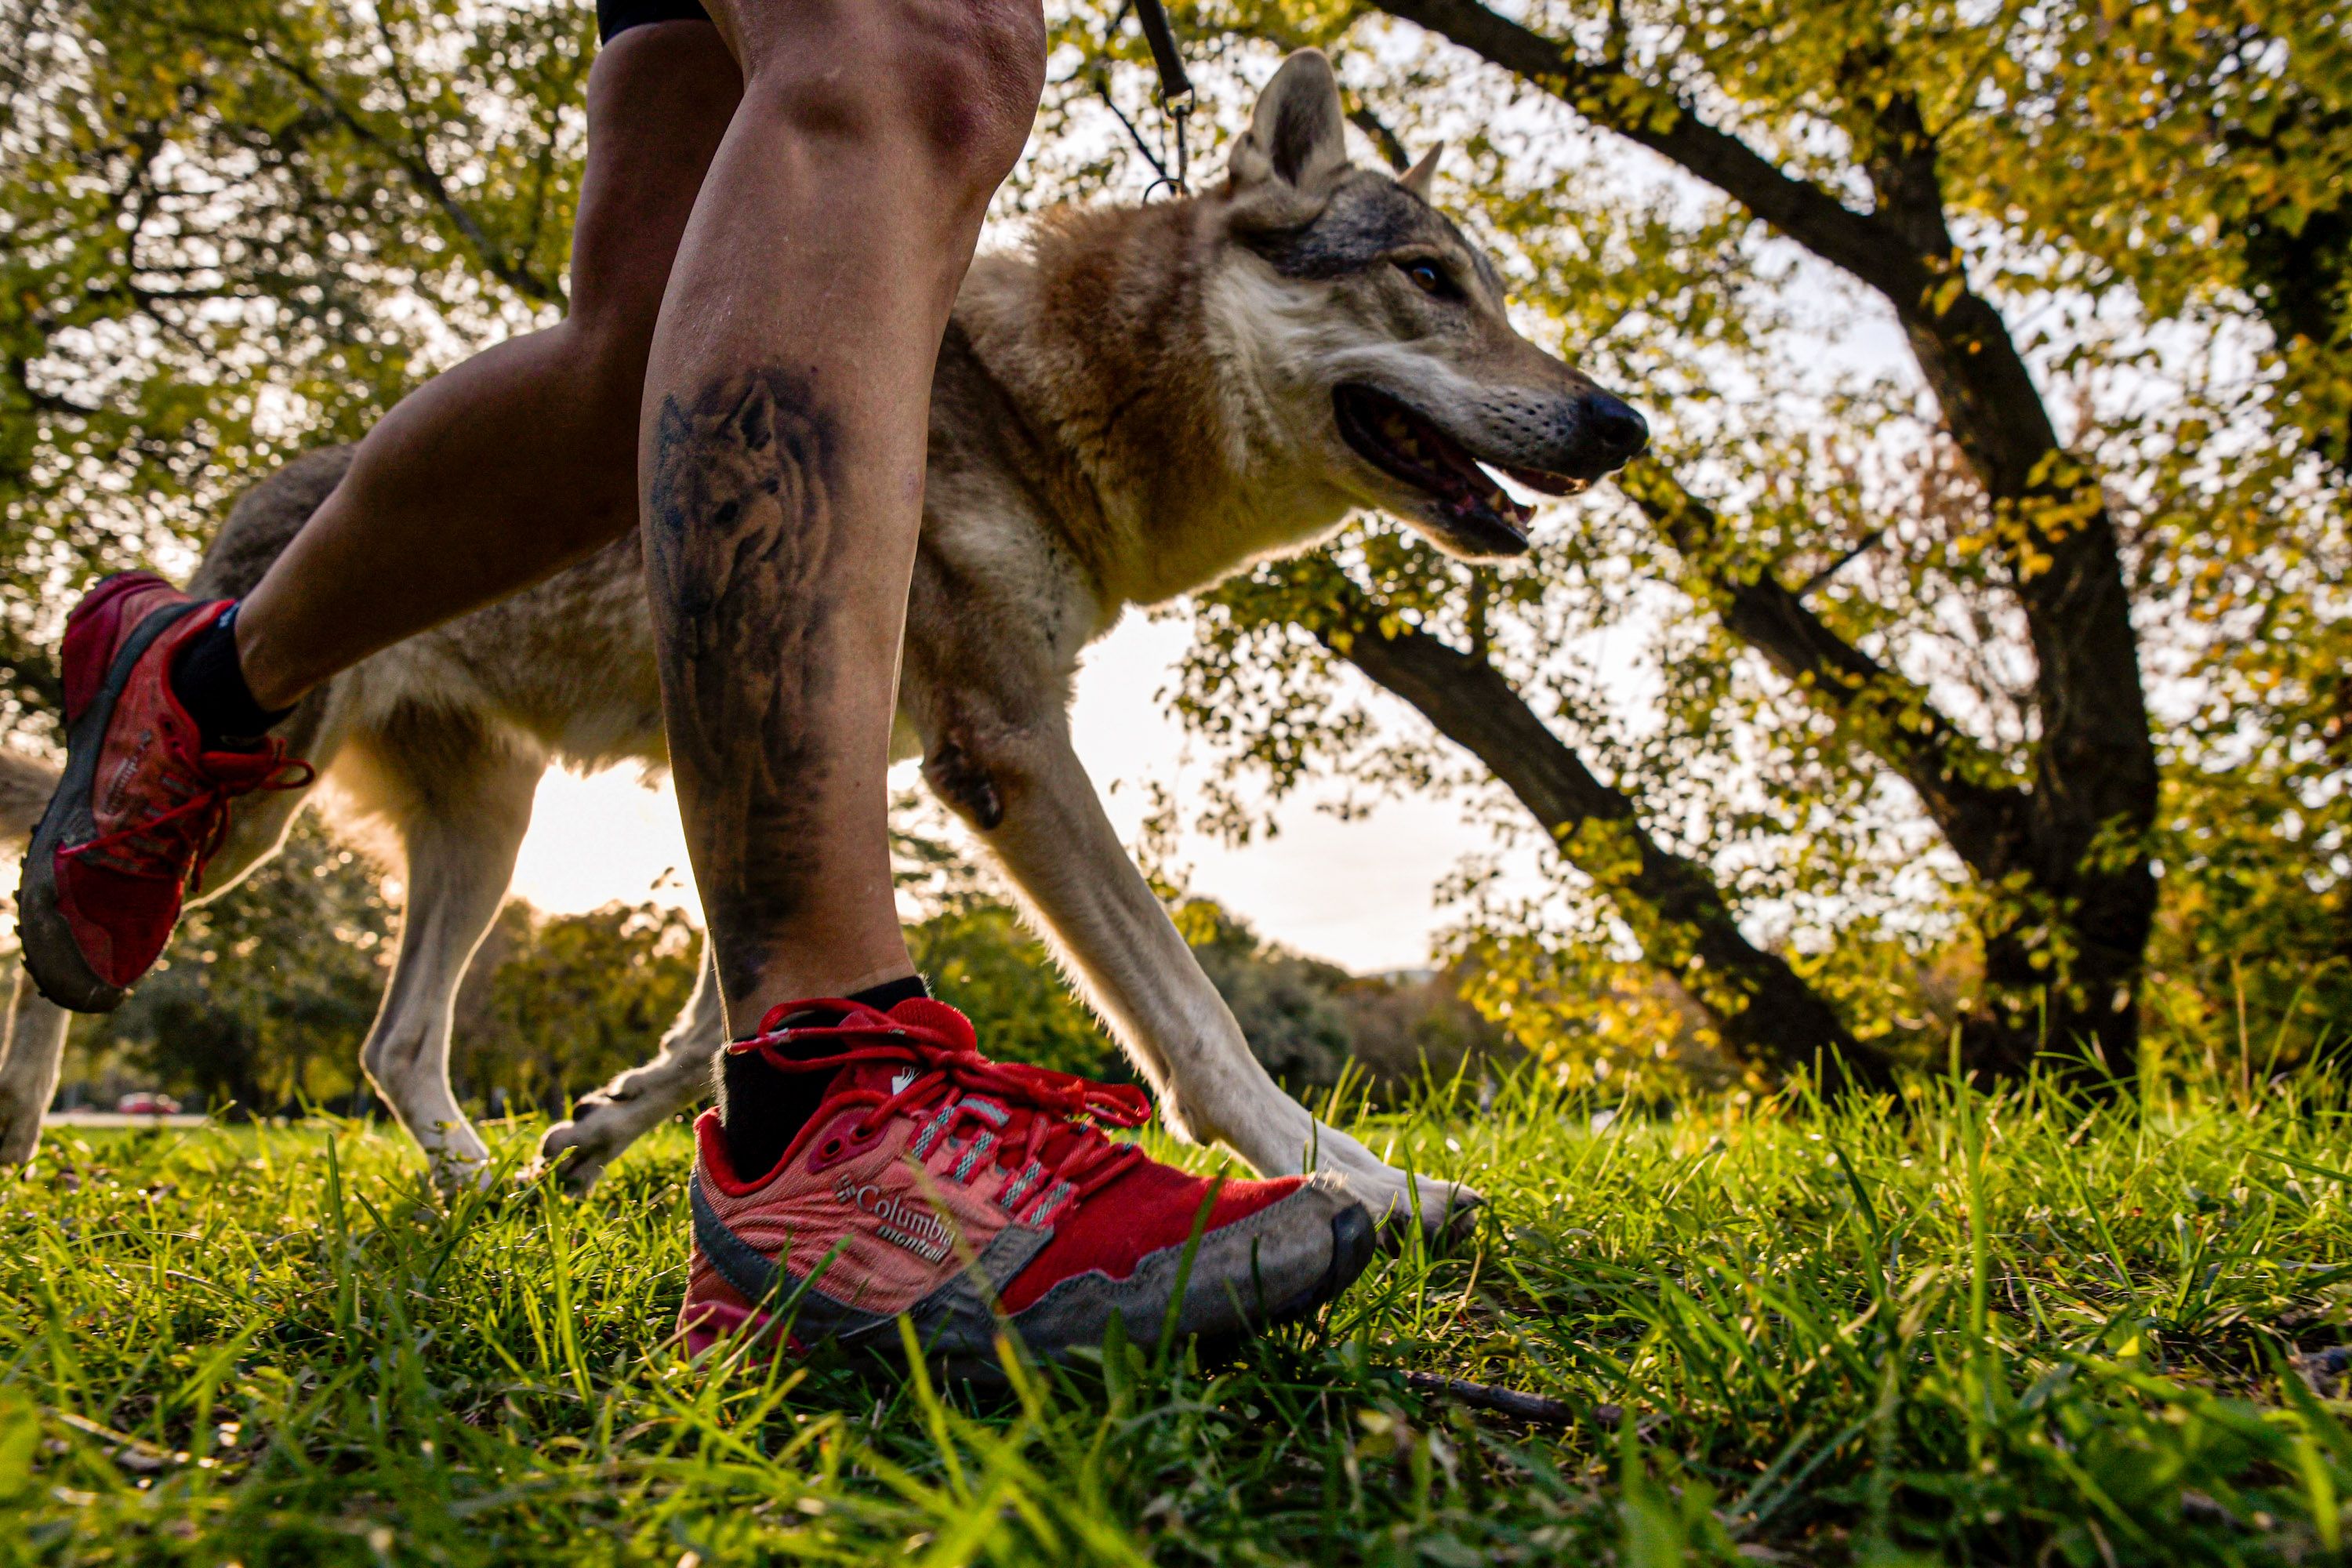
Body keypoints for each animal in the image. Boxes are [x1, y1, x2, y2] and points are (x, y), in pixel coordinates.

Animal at [0, 52, 1646, 1241]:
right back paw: (37, 1077)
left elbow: (723, 1012)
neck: (1052, 402)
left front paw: (605, 1134)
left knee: (392, 1046)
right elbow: (1199, 1023)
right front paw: (1368, 1183)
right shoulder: (1006, 748)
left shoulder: (824, 739)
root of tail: (254, 509)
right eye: (1431, 278)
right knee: (60, 917)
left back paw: (482, 1199)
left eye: (1498, 289)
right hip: (258, 818)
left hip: (492, 829)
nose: (1622, 423)